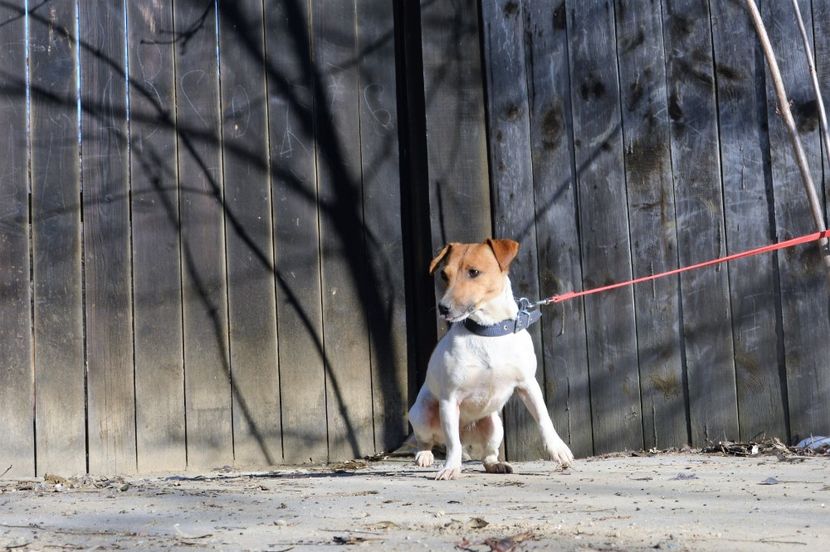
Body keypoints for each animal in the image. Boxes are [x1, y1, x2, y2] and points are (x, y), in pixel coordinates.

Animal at [408, 237, 572, 478]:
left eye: (474, 272)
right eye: (444, 275)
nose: (443, 308)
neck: (488, 331)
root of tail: (465, 431)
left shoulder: (528, 385)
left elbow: (544, 419)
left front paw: (557, 450)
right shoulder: (449, 400)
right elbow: (453, 444)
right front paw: (450, 468)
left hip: (495, 425)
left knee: (488, 455)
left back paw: (497, 465)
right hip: (422, 413)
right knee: (433, 440)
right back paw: (424, 455)